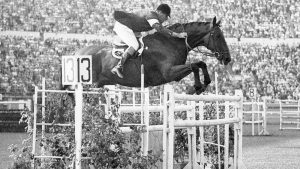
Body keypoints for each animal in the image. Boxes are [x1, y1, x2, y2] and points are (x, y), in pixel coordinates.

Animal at [65, 16, 230, 95]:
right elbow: (195, 65)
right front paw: (196, 87)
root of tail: (76, 53)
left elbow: (201, 63)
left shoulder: (175, 74)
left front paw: (203, 84)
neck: (172, 42)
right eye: (218, 36)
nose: (227, 58)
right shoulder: (169, 73)